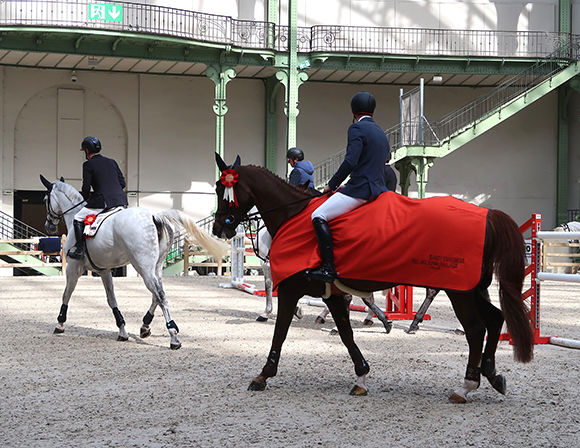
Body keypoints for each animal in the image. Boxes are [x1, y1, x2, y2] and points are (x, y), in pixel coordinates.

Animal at [214, 154, 536, 402]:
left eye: (221, 189)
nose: (220, 228)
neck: (292, 216)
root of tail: (487, 214)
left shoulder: (292, 289)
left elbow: (280, 331)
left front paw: (262, 375)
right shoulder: (333, 294)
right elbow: (346, 333)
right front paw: (361, 376)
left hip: (460, 290)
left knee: (475, 329)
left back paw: (465, 384)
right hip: (473, 287)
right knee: (495, 318)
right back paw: (492, 375)